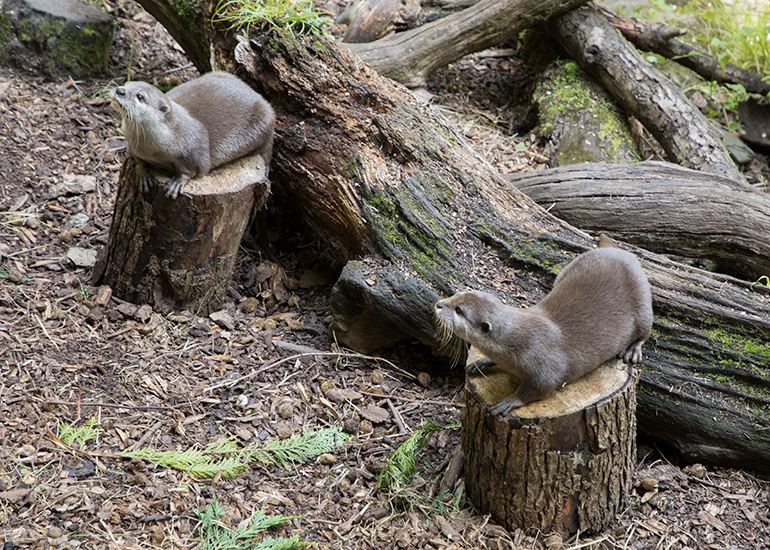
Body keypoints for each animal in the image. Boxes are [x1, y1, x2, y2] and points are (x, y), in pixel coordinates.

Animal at [111, 72, 275, 199]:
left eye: (140, 96)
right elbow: (139, 161)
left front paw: (177, 182)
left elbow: (193, 169)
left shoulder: (194, 150)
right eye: (127, 84)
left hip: (264, 121)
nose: (120, 90)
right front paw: (143, 173)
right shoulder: (133, 146)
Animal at [434, 241, 652, 414]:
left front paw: (509, 401)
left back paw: (632, 350)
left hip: (642, 302)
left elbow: (540, 388)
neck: (518, 343)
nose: (439, 304)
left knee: (644, 331)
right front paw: (481, 362)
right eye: (456, 295)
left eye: (459, 310)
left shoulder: (545, 365)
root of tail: (622, 252)